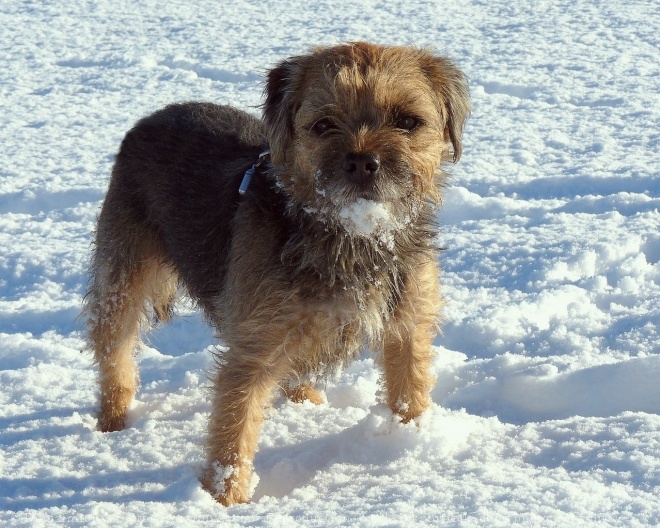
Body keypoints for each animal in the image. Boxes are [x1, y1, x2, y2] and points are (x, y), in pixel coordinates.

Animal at [84, 43, 470, 506]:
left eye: (408, 121)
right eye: (323, 125)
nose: (363, 161)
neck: (352, 238)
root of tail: (148, 119)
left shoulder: (408, 321)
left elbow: (409, 386)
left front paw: (411, 443)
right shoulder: (253, 345)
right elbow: (235, 425)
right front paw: (224, 499)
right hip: (121, 276)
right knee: (116, 348)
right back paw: (113, 423)